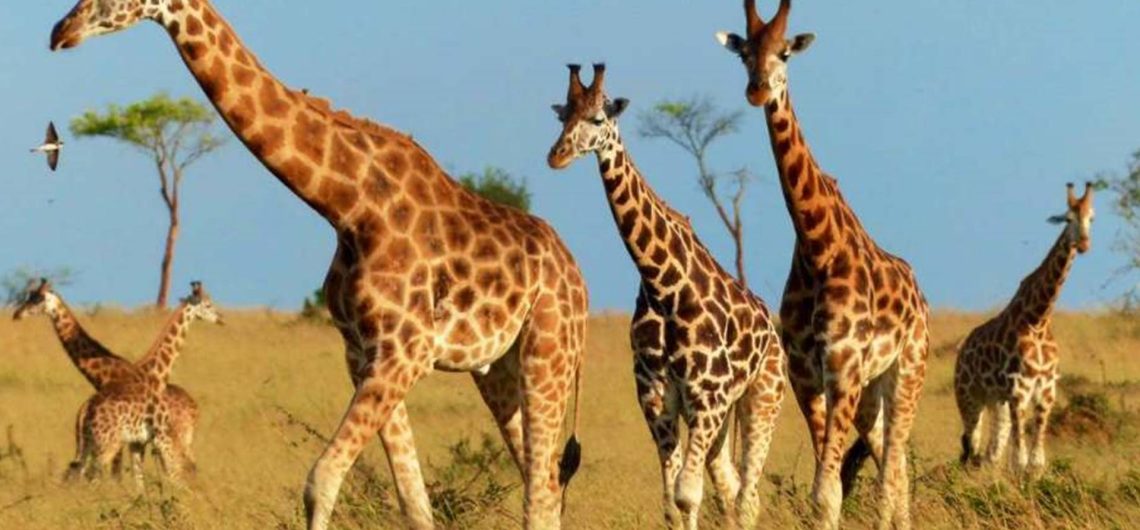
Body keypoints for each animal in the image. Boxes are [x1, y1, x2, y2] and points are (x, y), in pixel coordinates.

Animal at [12, 278, 200, 481]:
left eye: (38, 299)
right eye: (28, 295)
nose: (16, 314)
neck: (106, 371)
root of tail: (193, 404)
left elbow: (117, 471)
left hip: (174, 436)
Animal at [68, 280, 222, 487]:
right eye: (208, 305)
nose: (221, 318)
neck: (156, 374)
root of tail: (84, 410)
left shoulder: (140, 441)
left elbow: (139, 479)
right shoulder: (156, 438)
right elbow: (161, 475)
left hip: (90, 444)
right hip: (107, 444)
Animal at [547, 63, 787, 530]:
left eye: (597, 119)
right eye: (563, 116)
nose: (557, 156)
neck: (665, 287)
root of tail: (772, 328)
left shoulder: (707, 395)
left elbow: (687, 494)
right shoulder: (657, 396)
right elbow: (672, 501)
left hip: (762, 397)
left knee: (748, 495)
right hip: (722, 417)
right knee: (730, 486)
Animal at [717, 2, 931, 528]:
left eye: (785, 53)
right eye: (745, 54)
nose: (757, 90)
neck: (818, 248)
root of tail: (919, 294)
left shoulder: (842, 369)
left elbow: (826, 490)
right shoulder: (806, 375)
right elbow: (827, 487)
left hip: (906, 372)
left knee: (893, 469)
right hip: (870, 394)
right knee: (893, 467)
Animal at [955, 183, 1095, 479]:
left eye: (1092, 218)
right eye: (1068, 219)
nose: (1084, 244)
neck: (1038, 319)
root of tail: (961, 351)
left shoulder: (1045, 390)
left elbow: (1035, 462)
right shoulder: (1019, 389)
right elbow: (1019, 461)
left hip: (997, 402)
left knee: (989, 454)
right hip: (969, 397)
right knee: (970, 449)